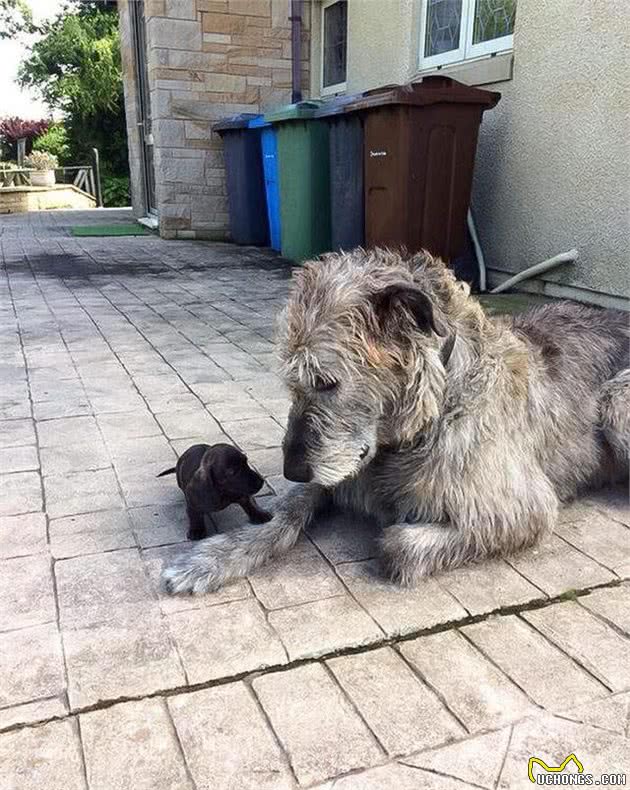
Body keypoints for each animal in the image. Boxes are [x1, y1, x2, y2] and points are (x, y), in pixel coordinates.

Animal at [164, 248, 630, 592]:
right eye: (292, 382)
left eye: (327, 381)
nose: (292, 469)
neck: (437, 408)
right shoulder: (341, 469)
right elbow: (285, 511)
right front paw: (213, 557)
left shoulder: (522, 508)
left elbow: (396, 544)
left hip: (616, 402)